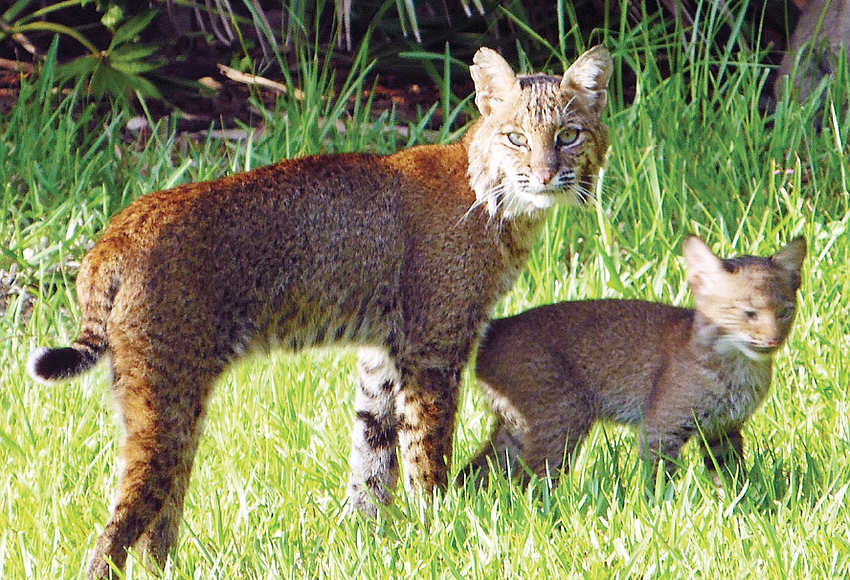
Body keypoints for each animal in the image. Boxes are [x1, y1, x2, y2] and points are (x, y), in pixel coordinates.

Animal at [26, 47, 608, 576]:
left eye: (568, 135)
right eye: (517, 138)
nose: (546, 175)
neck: (498, 200)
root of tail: (115, 230)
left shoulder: (385, 353)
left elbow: (372, 451)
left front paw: (367, 536)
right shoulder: (433, 351)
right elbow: (426, 451)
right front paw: (442, 527)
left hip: (167, 398)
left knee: (157, 517)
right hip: (166, 392)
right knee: (120, 522)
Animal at [464, 236, 800, 484]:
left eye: (785, 312)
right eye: (749, 313)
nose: (774, 339)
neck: (738, 363)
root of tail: (497, 326)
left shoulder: (723, 429)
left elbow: (730, 476)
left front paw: (738, 505)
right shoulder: (662, 426)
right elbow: (659, 479)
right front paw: (661, 513)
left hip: (520, 426)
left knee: (474, 472)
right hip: (563, 414)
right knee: (529, 481)